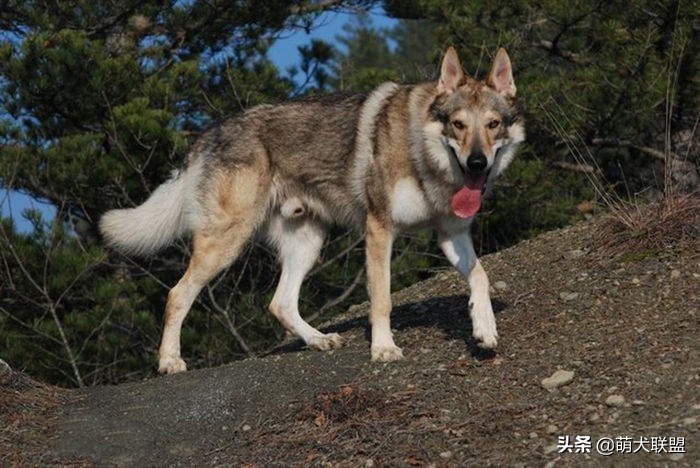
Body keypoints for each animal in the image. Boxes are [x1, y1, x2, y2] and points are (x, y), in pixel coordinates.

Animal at [100, 47, 525, 374]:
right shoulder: (379, 230)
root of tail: (207, 134)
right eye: (457, 125)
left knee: (280, 303)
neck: (424, 154)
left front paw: (485, 330)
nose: (477, 163)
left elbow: (481, 276)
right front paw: (383, 349)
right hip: (226, 244)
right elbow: (382, 299)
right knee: (177, 295)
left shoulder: (452, 234)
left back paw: (319, 339)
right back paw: (170, 362)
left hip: (307, 244)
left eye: (493, 125)